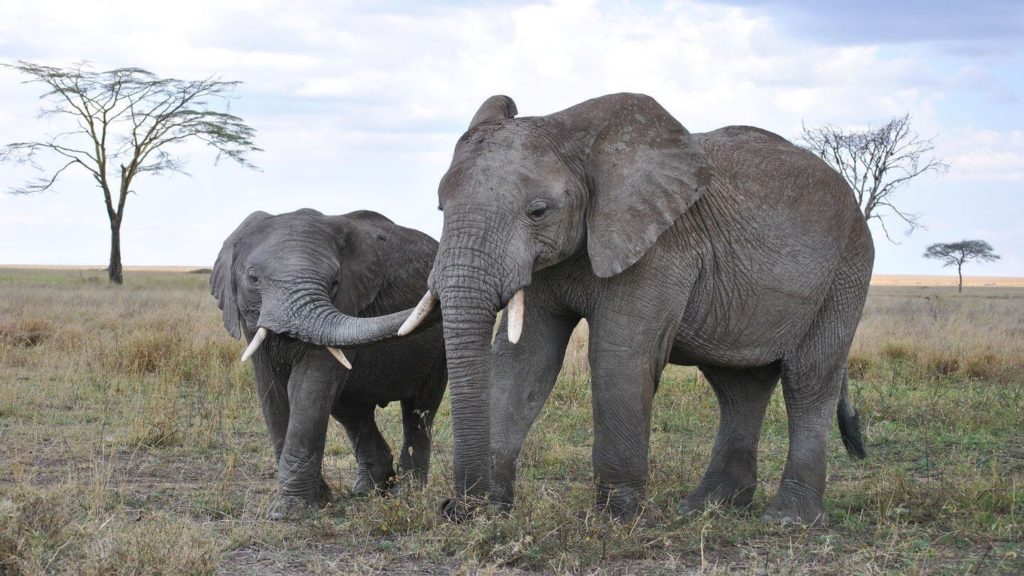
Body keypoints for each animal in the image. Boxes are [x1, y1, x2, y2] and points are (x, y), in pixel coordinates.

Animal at [211, 208, 446, 519]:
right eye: (253, 278)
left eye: (334, 282)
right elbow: (272, 393)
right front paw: (318, 502)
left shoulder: (347, 302)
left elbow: (308, 387)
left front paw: (289, 513)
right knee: (353, 412)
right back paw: (367, 491)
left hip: (439, 350)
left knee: (419, 409)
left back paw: (406, 495)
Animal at [391, 93, 873, 524]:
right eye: (440, 206)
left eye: (538, 211)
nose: (453, 509)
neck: (576, 139)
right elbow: (524, 360)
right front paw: (493, 511)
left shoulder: (659, 246)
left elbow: (617, 359)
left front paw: (617, 522)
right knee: (739, 387)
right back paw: (706, 509)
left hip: (847, 269)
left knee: (809, 380)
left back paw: (788, 520)